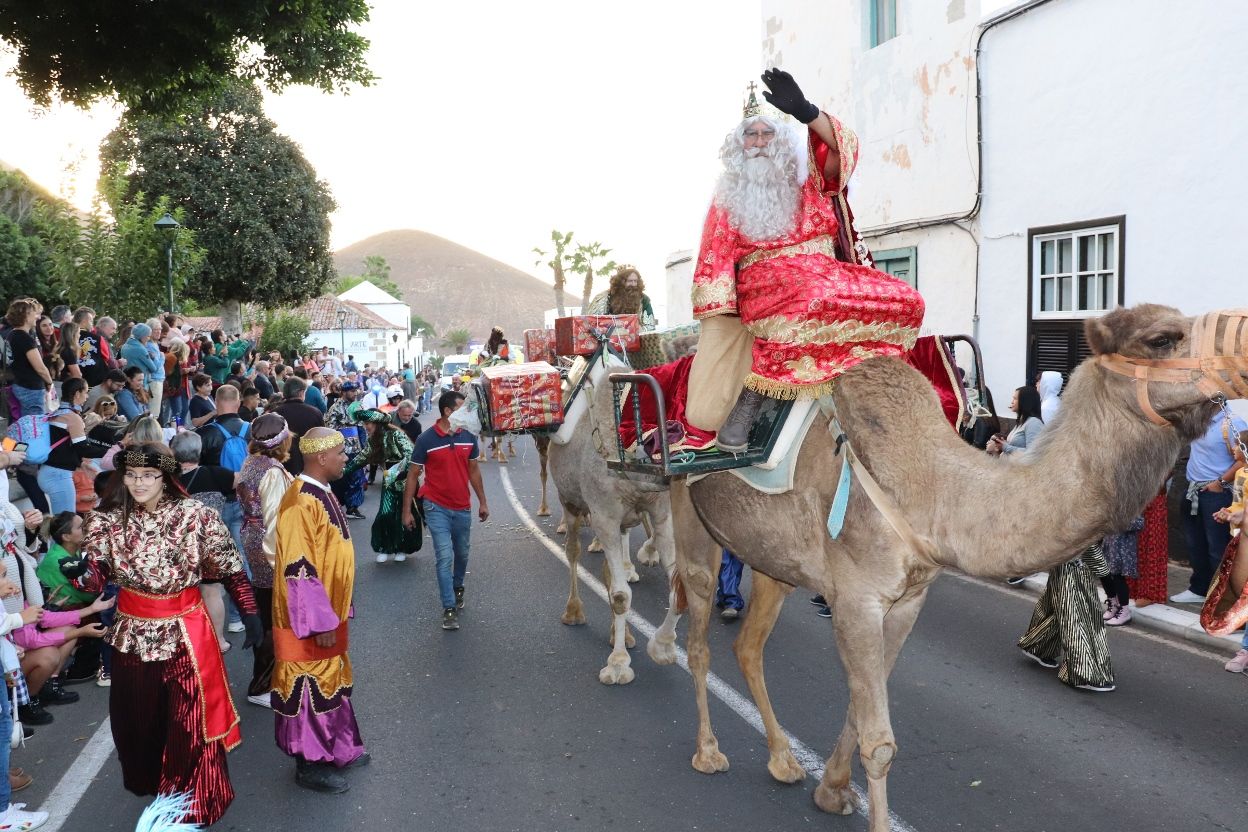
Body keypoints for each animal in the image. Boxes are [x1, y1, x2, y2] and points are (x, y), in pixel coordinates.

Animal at [549, 346, 678, 683]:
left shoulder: (660, 514)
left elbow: (678, 589)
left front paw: (662, 647)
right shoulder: (604, 515)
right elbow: (621, 595)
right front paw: (618, 664)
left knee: (609, 566)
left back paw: (624, 634)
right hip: (570, 502)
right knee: (573, 551)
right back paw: (573, 612)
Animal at [668, 308, 1248, 832]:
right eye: (1163, 338)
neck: (928, 486)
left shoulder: (908, 599)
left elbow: (861, 706)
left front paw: (830, 792)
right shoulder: (856, 598)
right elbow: (879, 743)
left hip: (775, 558)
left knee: (748, 644)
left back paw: (783, 760)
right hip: (686, 512)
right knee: (693, 627)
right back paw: (704, 746)